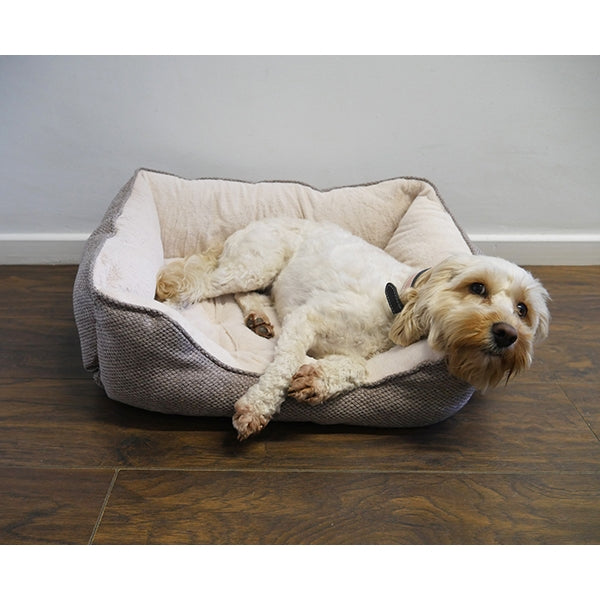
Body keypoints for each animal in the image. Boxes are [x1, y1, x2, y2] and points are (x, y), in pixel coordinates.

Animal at [155, 218, 548, 438]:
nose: (507, 334)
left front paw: (318, 379)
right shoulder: (306, 319)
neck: (396, 300)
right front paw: (256, 408)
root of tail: (246, 227)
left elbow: (356, 367)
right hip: (257, 264)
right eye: (477, 287)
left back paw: (259, 318)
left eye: (522, 309)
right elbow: (284, 365)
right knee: (202, 283)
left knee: (242, 293)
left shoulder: (355, 350)